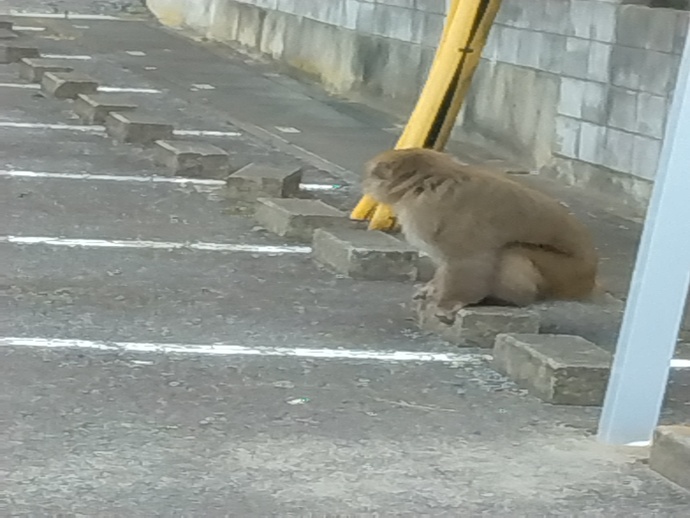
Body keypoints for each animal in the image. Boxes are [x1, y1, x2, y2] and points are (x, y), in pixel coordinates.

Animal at [360, 148, 596, 322]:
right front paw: (433, 288)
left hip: (563, 274)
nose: (365, 185)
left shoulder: (436, 211)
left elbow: (469, 258)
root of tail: (589, 283)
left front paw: (449, 303)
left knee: (512, 252)